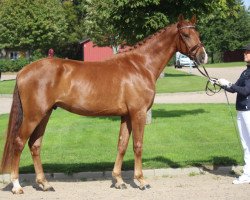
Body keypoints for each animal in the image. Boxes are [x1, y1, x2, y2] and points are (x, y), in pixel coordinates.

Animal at [0, 15, 207, 194]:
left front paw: (119, 181)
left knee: (35, 145)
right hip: (33, 115)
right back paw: (17, 186)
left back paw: (44, 184)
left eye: (198, 33)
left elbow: (122, 145)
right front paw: (141, 181)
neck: (140, 65)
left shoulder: (126, 115)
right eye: (185, 34)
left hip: (45, 114)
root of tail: (23, 71)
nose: (203, 56)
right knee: (19, 143)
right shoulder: (138, 113)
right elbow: (137, 145)